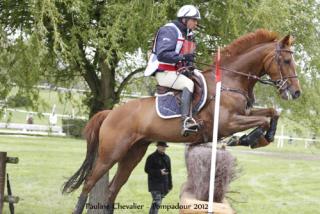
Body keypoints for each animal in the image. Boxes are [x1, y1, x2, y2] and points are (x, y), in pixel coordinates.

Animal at [62, 29, 300, 213]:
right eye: (287, 61)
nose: (296, 93)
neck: (230, 80)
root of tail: (110, 113)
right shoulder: (227, 123)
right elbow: (262, 120)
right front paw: (250, 139)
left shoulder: (244, 113)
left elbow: (272, 112)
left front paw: (262, 138)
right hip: (110, 153)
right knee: (89, 183)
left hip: (133, 152)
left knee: (113, 189)